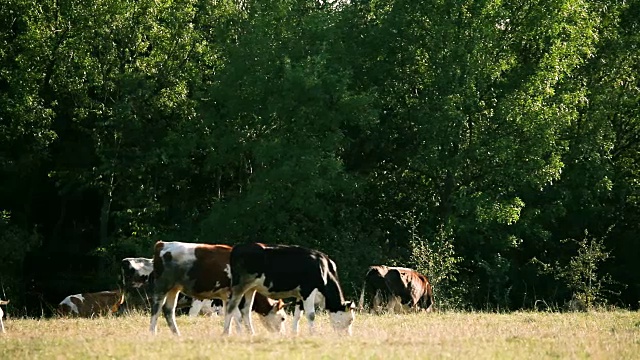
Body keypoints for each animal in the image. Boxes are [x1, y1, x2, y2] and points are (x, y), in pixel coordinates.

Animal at [149, 240, 286, 336]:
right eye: (283, 318)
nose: (283, 334)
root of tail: (162, 244)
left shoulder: (226, 297)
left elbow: (232, 315)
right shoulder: (232, 295)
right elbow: (238, 316)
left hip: (174, 289)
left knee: (168, 310)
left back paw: (177, 334)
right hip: (162, 286)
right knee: (156, 308)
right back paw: (152, 332)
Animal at [224, 243, 356, 336]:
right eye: (350, 320)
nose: (348, 336)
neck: (324, 269)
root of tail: (238, 247)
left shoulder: (300, 294)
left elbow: (298, 315)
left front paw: (294, 333)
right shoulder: (308, 290)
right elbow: (311, 315)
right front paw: (313, 333)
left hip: (251, 289)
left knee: (246, 310)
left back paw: (251, 333)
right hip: (239, 287)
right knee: (231, 307)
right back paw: (225, 333)